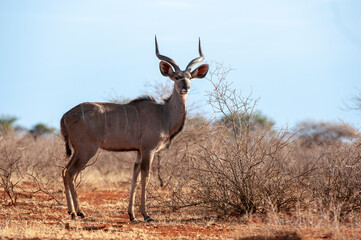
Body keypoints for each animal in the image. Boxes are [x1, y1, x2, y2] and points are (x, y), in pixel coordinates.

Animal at [59, 36, 208, 222]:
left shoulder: (138, 151)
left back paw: (71, 211)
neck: (164, 114)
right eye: (176, 77)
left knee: (64, 171)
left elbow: (134, 179)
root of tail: (65, 117)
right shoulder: (148, 149)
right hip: (87, 150)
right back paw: (79, 213)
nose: (185, 88)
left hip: (78, 151)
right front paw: (146, 215)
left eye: (190, 77)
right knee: (70, 173)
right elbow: (145, 178)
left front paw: (132, 215)